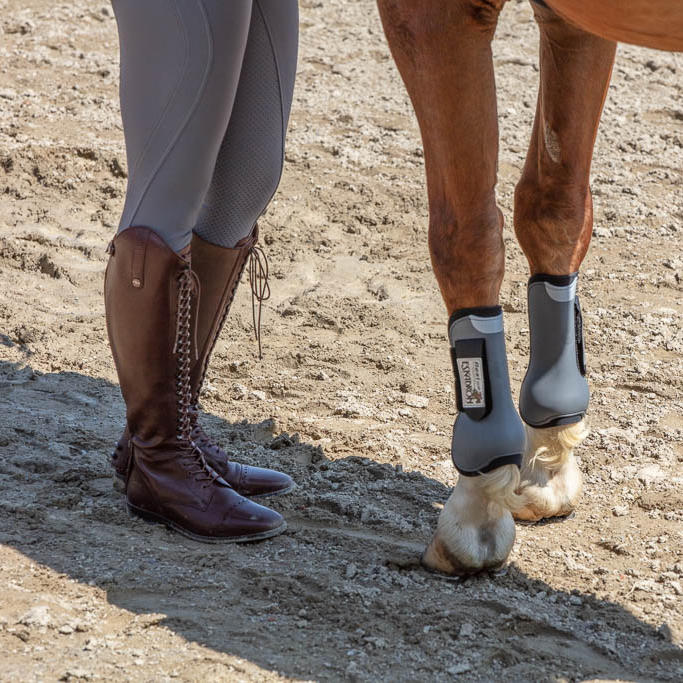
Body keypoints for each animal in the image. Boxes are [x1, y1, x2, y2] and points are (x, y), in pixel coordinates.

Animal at [376, 0, 680, 576]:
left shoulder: (435, 16)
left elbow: (465, 234)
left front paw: (475, 513)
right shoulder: (576, 23)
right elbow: (554, 207)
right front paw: (546, 468)